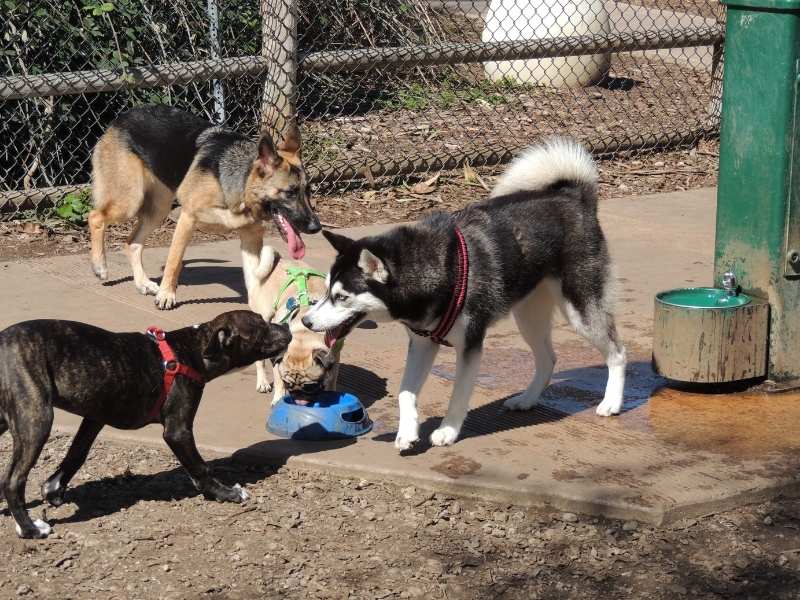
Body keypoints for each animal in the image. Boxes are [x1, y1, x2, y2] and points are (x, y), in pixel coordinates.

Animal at [0, 310, 290, 540]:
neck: (192, 351)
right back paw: (29, 529)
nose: (287, 327)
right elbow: (200, 467)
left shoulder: (95, 417)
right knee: (12, 480)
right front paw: (226, 493)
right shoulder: (177, 431)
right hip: (37, 419)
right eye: (261, 327)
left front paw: (54, 489)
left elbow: (76, 454)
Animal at [87, 104, 318, 310]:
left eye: (308, 191)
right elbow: (174, 261)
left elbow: (255, 276)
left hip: (158, 209)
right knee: (95, 216)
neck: (241, 185)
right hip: (130, 200)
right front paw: (167, 295)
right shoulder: (187, 219)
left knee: (132, 243)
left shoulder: (250, 238)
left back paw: (142, 282)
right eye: (290, 193)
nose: (316, 228)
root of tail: (122, 117)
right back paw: (100, 266)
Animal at [247, 246, 340, 406]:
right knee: (260, 360)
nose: (298, 396)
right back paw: (263, 382)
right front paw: (278, 398)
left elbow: (332, 377)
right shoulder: (279, 362)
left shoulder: (335, 353)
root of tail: (280, 260)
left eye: (311, 386)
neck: (304, 331)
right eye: (288, 384)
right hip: (263, 316)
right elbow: (278, 378)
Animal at [304, 138, 628, 450]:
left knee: (617, 352)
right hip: (528, 317)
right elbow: (405, 391)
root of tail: (574, 195)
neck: (438, 270)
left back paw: (611, 402)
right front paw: (407, 432)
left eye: (342, 297)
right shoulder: (422, 344)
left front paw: (447, 430)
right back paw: (527, 399)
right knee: (548, 359)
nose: (306, 321)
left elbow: (459, 394)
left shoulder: (470, 345)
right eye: (326, 290)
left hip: (581, 310)